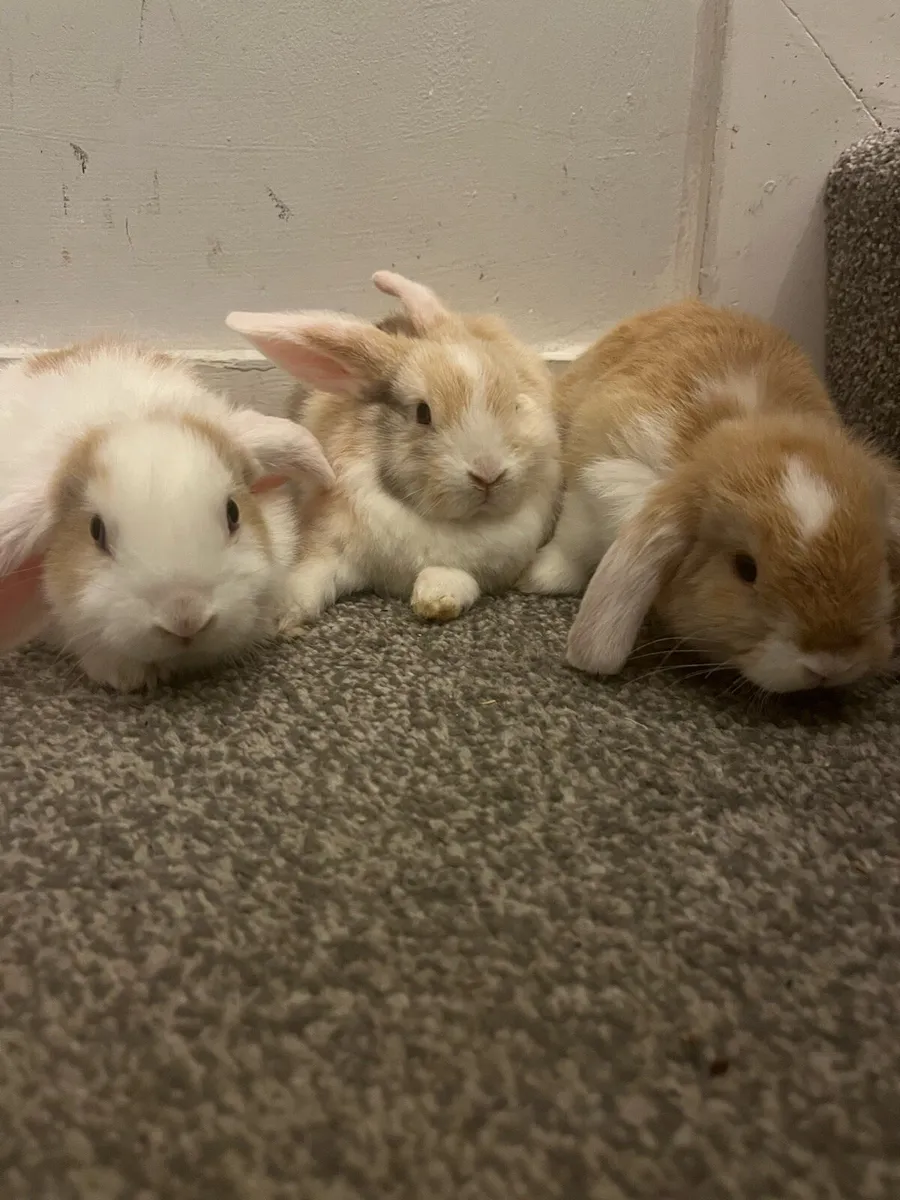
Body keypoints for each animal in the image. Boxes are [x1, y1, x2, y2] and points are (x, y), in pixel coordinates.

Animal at [226, 270, 560, 625]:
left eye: (516, 405)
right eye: (423, 413)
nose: (488, 474)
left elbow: (451, 578)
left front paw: (435, 600)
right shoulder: (328, 542)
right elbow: (311, 574)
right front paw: (280, 613)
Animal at [519, 299, 900, 693]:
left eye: (881, 563)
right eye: (745, 568)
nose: (829, 665)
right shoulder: (599, 483)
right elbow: (573, 543)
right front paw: (538, 577)